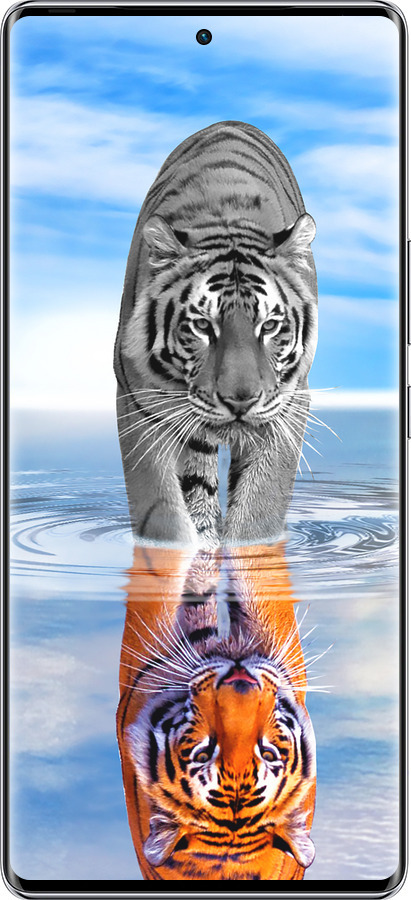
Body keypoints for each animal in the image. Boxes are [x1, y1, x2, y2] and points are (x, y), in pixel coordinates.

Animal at [114, 120, 318, 548]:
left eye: (269, 326)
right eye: (202, 326)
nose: (240, 401)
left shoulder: (289, 404)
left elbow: (260, 508)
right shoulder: (138, 400)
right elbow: (161, 511)